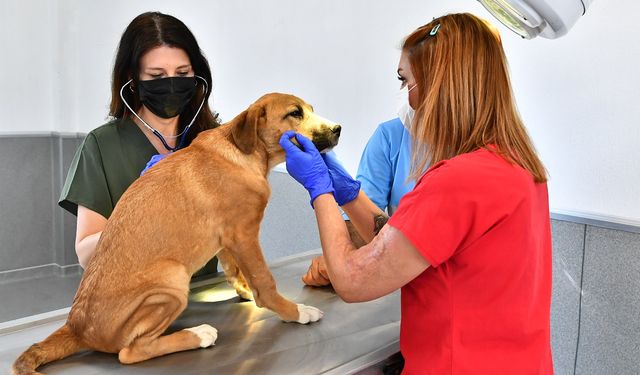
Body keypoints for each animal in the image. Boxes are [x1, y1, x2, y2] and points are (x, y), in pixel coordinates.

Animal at [11, 92, 340, 374]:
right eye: (295, 113)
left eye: (310, 109)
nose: (338, 128)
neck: (242, 151)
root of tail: (76, 326)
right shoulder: (244, 233)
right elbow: (264, 280)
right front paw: (294, 311)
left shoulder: (226, 238)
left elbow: (236, 270)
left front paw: (246, 292)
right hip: (171, 280)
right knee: (130, 352)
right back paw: (198, 334)